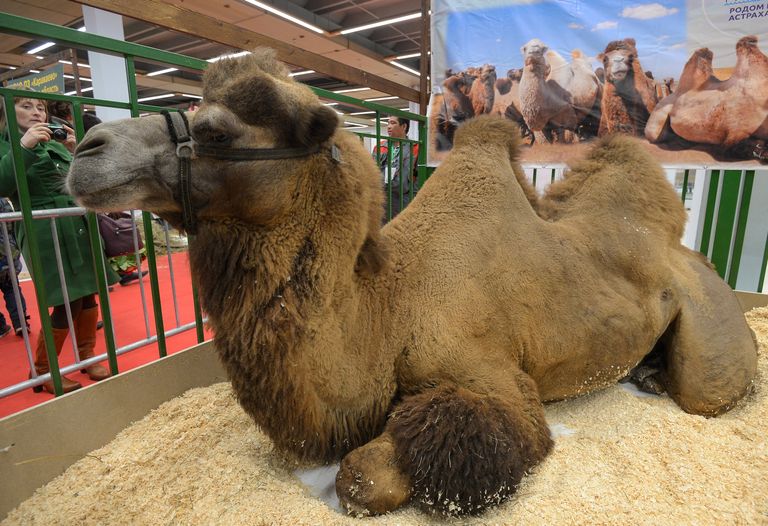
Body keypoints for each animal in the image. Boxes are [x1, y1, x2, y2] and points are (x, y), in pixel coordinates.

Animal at [66, 49, 758, 518]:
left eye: (215, 129)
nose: (88, 147)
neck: (385, 310)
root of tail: (687, 250)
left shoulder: (495, 383)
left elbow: (364, 475)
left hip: (708, 333)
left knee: (708, 389)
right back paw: (647, 371)